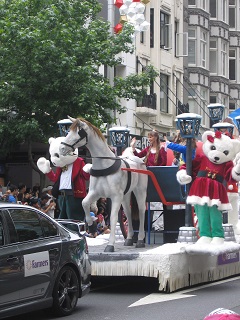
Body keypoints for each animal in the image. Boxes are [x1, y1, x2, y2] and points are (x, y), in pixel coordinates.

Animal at [59, 117, 147, 252]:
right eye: (68, 131)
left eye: (78, 133)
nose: (61, 149)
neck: (104, 165)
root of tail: (140, 160)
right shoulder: (95, 193)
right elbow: (84, 203)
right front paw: (91, 224)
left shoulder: (115, 197)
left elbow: (113, 218)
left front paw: (110, 244)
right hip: (125, 195)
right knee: (128, 212)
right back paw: (129, 238)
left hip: (140, 191)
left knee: (142, 211)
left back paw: (141, 239)